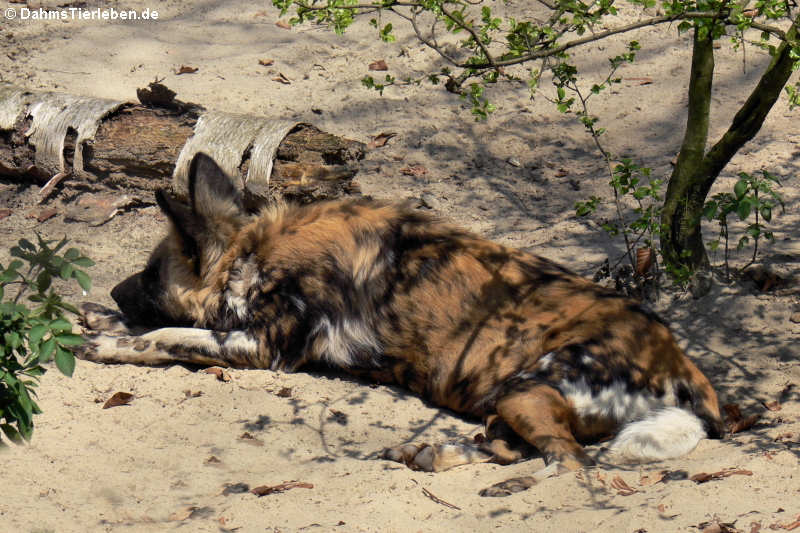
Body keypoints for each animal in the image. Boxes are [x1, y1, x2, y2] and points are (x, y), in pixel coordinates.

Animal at [79, 152, 724, 496]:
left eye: (149, 274)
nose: (113, 289)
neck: (253, 253)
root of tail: (686, 371)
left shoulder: (261, 347)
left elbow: (163, 337)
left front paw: (107, 343)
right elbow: (161, 332)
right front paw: (91, 315)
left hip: (528, 390)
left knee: (568, 463)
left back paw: (500, 483)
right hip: (509, 398)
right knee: (509, 448)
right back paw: (427, 454)